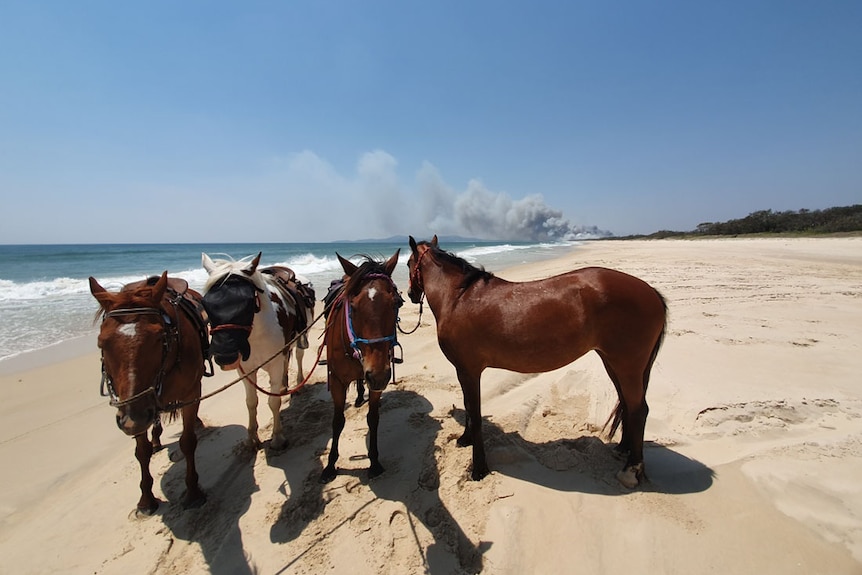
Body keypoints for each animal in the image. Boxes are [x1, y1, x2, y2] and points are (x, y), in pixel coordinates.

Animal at [88, 272, 211, 516]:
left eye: (159, 337)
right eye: (101, 343)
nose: (134, 419)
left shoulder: (190, 394)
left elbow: (188, 442)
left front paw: (193, 493)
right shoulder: (133, 405)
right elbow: (142, 451)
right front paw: (146, 500)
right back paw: (156, 440)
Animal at [201, 252, 316, 450]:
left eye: (247, 302)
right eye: (206, 304)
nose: (225, 356)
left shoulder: (275, 363)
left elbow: (273, 401)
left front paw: (278, 438)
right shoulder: (245, 370)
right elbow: (251, 402)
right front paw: (251, 438)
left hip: (302, 336)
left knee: (299, 357)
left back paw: (297, 384)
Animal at [320, 250, 404, 484]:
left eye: (396, 303)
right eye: (354, 306)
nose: (377, 375)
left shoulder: (377, 379)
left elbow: (373, 419)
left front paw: (374, 462)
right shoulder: (337, 381)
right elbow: (337, 421)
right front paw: (330, 465)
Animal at [406, 236, 668, 488]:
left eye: (408, 263)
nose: (409, 295)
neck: (459, 298)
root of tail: (651, 292)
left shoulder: (469, 371)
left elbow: (475, 413)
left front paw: (478, 468)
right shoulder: (465, 371)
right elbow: (469, 408)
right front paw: (465, 439)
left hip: (627, 366)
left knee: (638, 410)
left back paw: (631, 470)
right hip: (614, 363)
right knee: (627, 404)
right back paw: (624, 449)